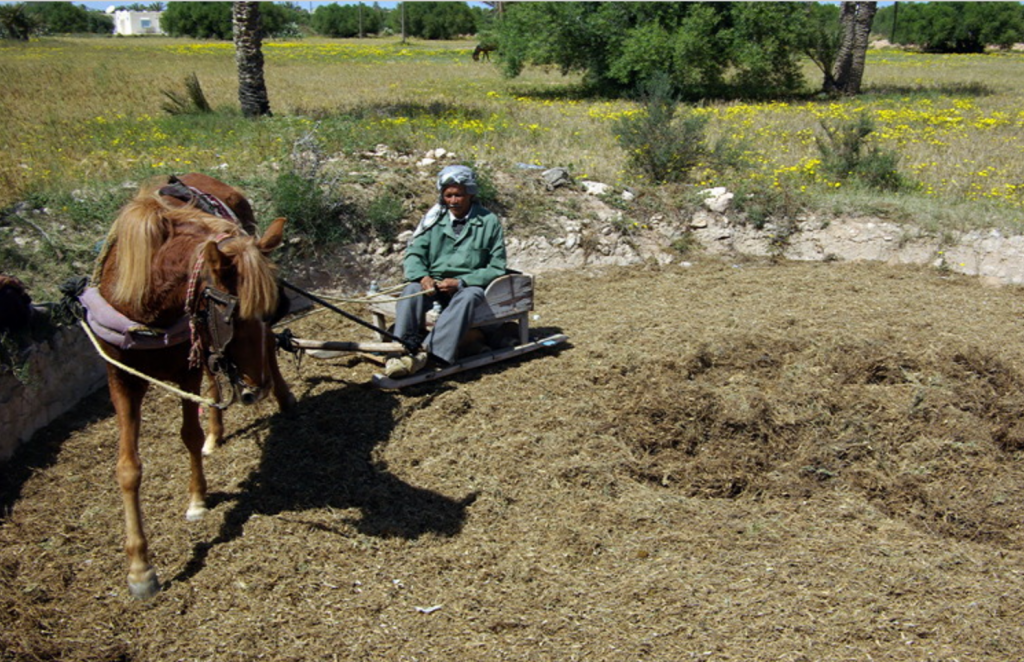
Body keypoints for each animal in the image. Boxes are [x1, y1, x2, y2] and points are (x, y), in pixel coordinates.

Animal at [90, 174, 294, 598]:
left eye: (270, 309)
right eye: (231, 317)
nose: (256, 388)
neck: (146, 302)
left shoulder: (188, 366)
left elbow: (188, 433)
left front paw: (197, 498)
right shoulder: (120, 377)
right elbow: (128, 466)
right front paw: (139, 567)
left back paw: (282, 397)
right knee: (215, 382)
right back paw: (218, 432)